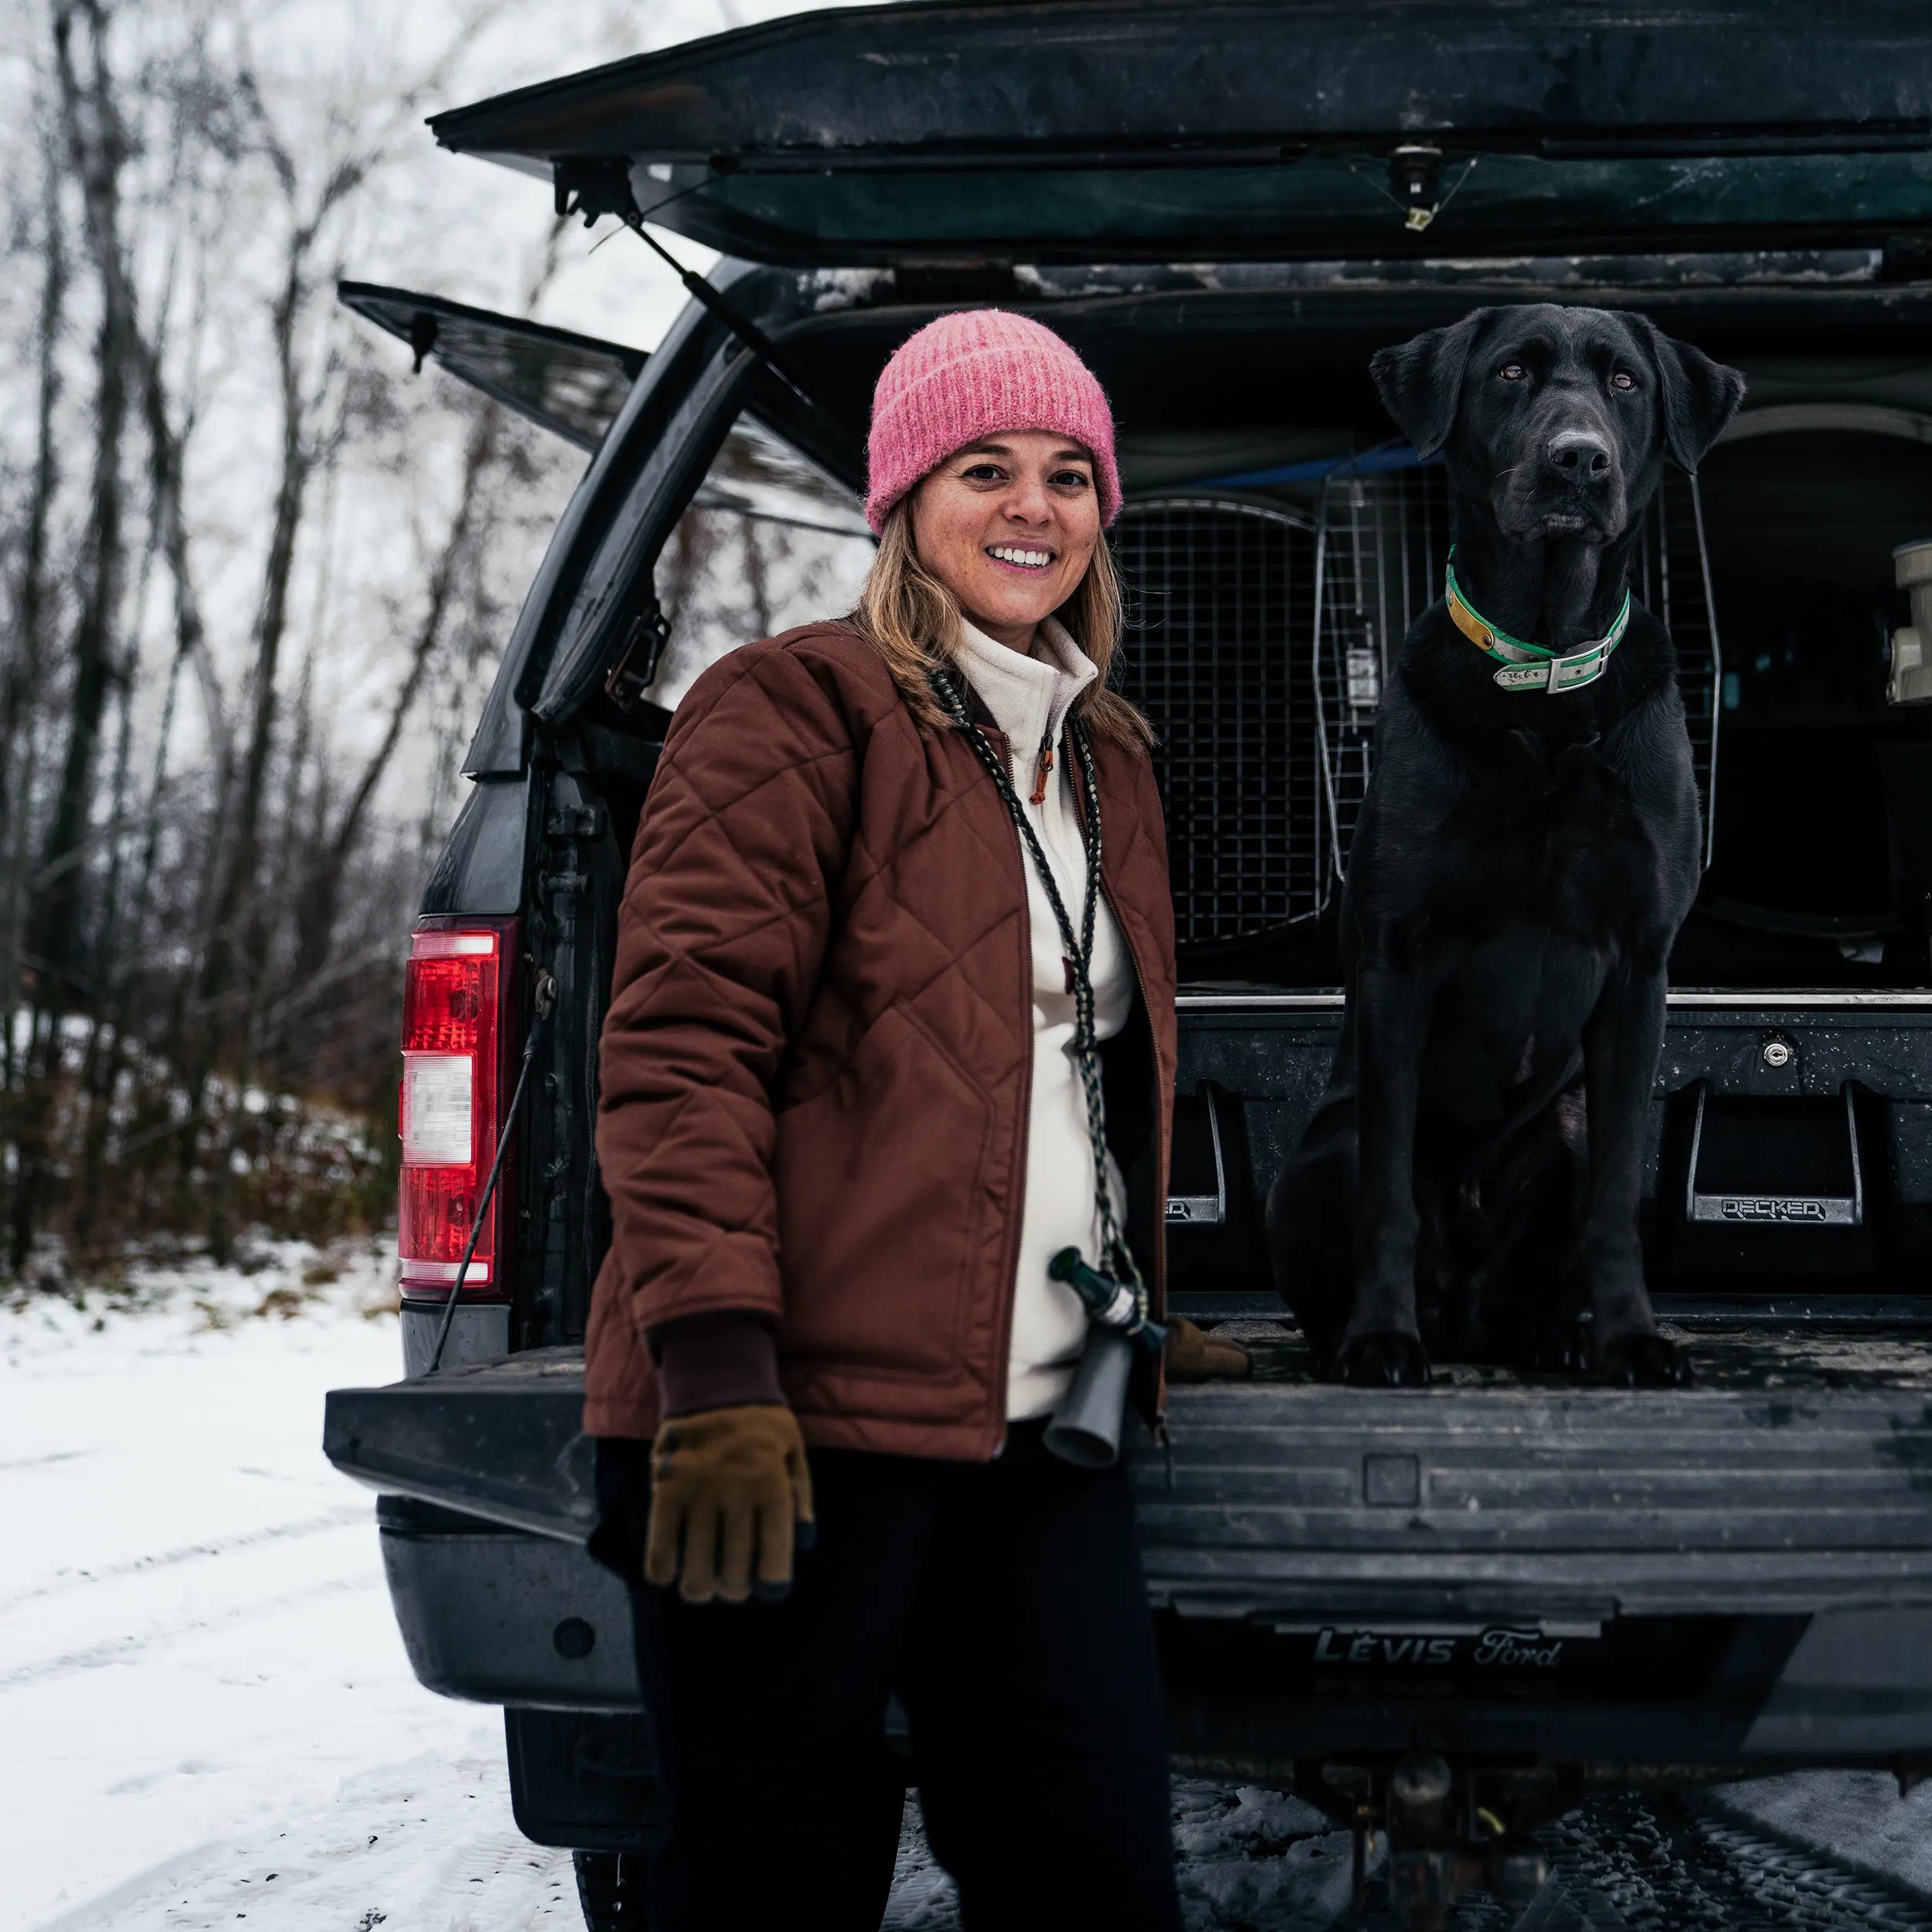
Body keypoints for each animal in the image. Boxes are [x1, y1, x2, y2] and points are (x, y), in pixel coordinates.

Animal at [1275, 305, 1747, 1391]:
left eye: (1625, 382)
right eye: (1510, 374)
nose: (1578, 459)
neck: (1544, 674)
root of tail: (1472, 1319)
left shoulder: (1639, 963)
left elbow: (1613, 1201)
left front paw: (1629, 1337)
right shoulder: (1398, 957)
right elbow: (1387, 1200)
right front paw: (1379, 1337)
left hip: (1561, 1125)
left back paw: (1558, 1334)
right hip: (1324, 1146)